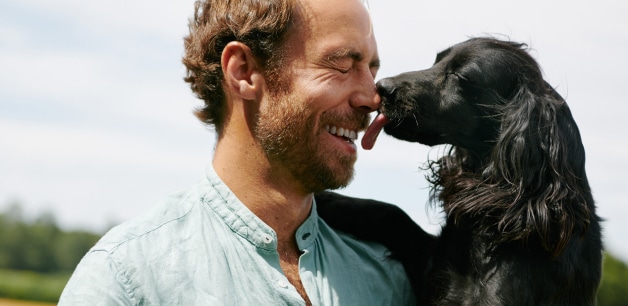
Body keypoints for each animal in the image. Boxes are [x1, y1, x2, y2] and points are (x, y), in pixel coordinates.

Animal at [316, 37, 600, 304]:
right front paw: (326, 201)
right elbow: (391, 213)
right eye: (436, 61)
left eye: (460, 76)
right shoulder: (434, 267)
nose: (381, 87)